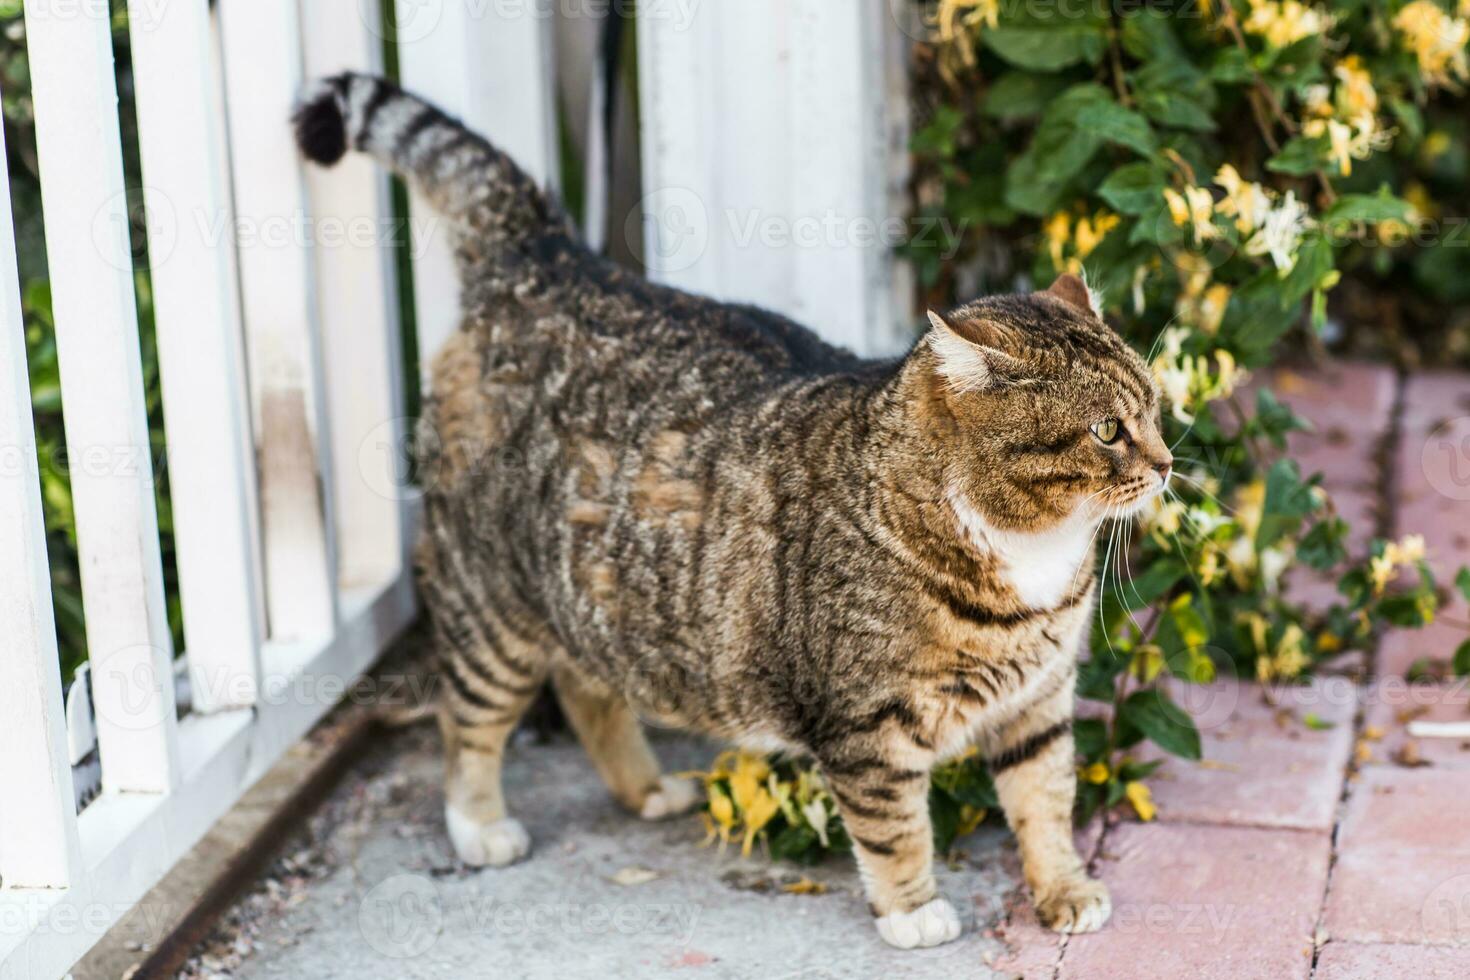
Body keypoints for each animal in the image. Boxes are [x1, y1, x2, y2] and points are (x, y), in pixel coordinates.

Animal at [295, 74, 1170, 952]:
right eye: (1107, 430)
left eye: (1157, 408)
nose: (1166, 464)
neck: (1030, 558)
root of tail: (548, 262)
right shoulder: (867, 728)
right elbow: (894, 827)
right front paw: (913, 909)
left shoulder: (1041, 701)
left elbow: (1044, 800)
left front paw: (1062, 888)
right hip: (492, 605)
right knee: (469, 716)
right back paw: (480, 825)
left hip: (597, 594)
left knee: (586, 683)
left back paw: (645, 788)